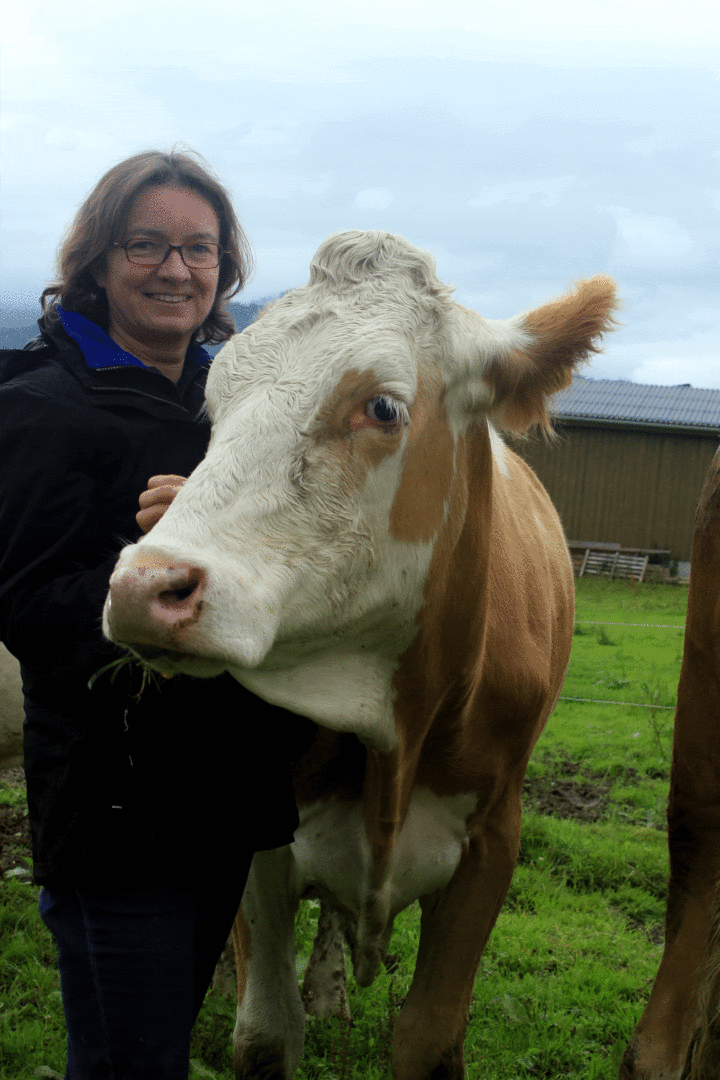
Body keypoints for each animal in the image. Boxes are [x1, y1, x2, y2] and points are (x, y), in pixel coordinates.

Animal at [102, 230, 621, 1080]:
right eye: (215, 406)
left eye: (381, 406)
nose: (145, 586)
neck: (392, 728)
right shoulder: (258, 830)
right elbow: (265, 1030)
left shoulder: (493, 843)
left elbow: (429, 1034)